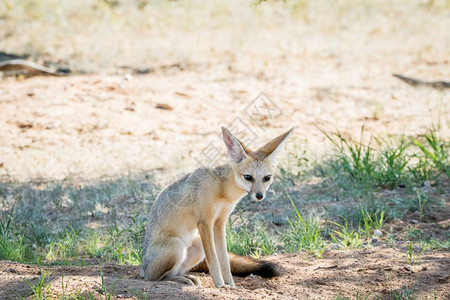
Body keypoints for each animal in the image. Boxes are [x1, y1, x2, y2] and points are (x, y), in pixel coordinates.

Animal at [141, 125, 296, 288]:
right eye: (248, 177)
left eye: (267, 178)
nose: (259, 196)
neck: (223, 192)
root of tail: (142, 269)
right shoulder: (205, 223)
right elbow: (214, 260)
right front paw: (220, 286)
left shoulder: (219, 223)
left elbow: (225, 261)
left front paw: (231, 286)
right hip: (177, 247)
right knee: (155, 278)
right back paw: (180, 280)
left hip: (197, 246)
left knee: (173, 273)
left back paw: (187, 278)